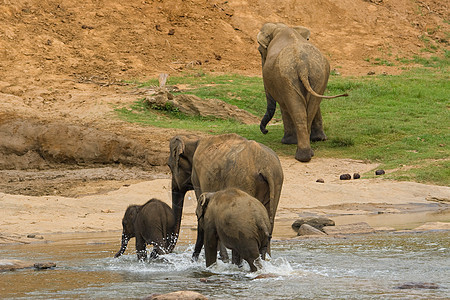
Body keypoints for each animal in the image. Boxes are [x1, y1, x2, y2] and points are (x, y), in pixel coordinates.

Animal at [167, 132, 284, 262]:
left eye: (169, 166)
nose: (193, 259)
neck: (193, 139)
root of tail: (266, 167)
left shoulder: (197, 177)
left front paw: (222, 258)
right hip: (277, 181)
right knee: (268, 222)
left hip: (243, 180)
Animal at [256, 21, 348, 162]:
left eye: (260, 51)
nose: (265, 131)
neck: (282, 27)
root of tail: (302, 65)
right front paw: (319, 139)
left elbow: (284, 106)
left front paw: (287, 141)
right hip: (317, 75)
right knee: (309, 109)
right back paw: (308, 152)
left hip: (287, 78)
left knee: (296, 110)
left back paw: (301, 155)